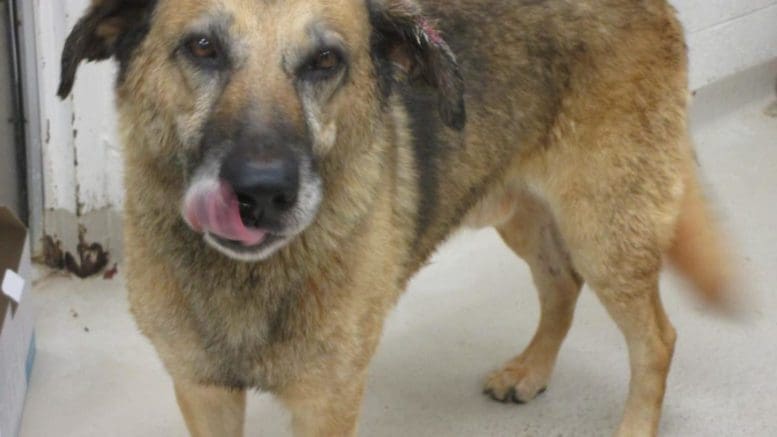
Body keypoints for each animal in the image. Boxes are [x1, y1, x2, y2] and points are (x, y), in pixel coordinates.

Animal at [57, 0, 732, 432]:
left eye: (326, 60)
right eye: (202, 47)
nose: (263, 194)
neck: (248, 278)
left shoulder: (326, 402)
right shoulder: (204, 393)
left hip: (605, 228)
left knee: (657, 339)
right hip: (517, 210)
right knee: (562, 284)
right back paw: (531, 370)